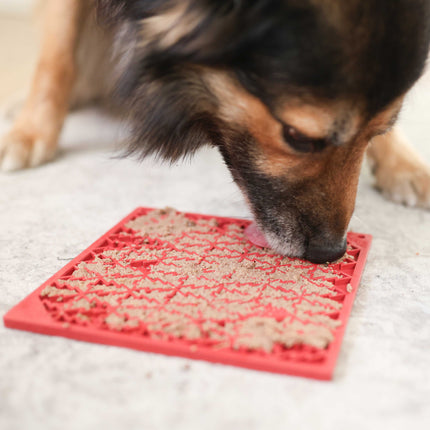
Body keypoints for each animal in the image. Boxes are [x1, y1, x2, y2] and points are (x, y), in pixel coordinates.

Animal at [0, 0, 430, 262]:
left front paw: (402, 164)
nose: (331, 252)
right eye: (297, 137)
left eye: (378, 130)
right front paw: (31, 132)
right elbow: (57, 52)